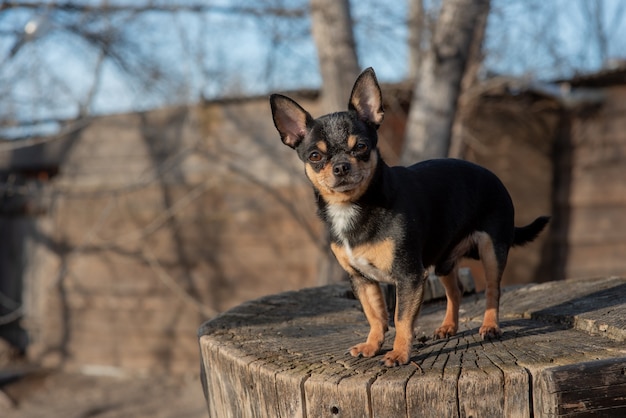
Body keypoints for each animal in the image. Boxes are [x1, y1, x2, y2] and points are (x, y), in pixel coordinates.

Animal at [268, 67, 544, 364]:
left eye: (361, 147)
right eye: (315, 156)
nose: (341, 166)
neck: (354, 206)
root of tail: (493, 176)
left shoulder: (409, 277)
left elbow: (401, 318)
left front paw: (399, 353)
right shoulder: (362, 280)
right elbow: (376, 316)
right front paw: (372, 346)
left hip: (492, 249)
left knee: (493, 290)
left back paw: (490, 326)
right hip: (443, 260)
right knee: (455, 291)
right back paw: (448, 327)